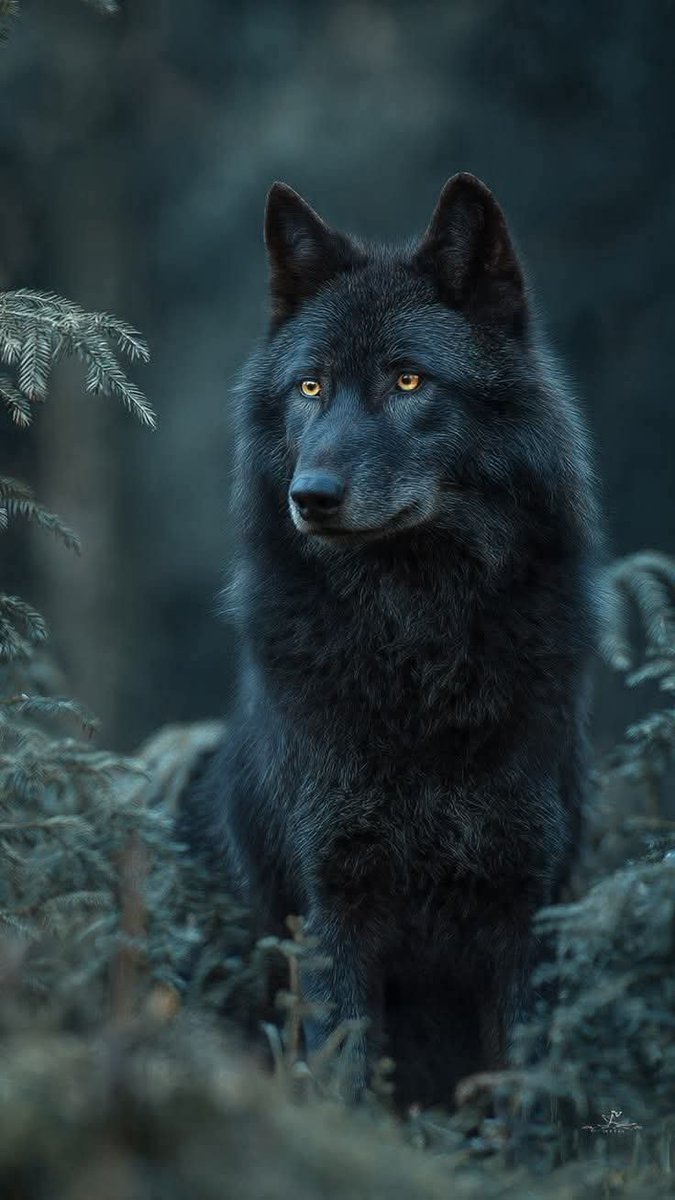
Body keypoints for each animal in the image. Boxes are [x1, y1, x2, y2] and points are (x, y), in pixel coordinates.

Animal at [180, 173, 600, 1109]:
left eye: (408, 380)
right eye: (309, 389)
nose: (310, 496)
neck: (416, 654)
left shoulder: (526, 908)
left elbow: (526, 1104)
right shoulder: (329, 910)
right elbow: (343, 1086)